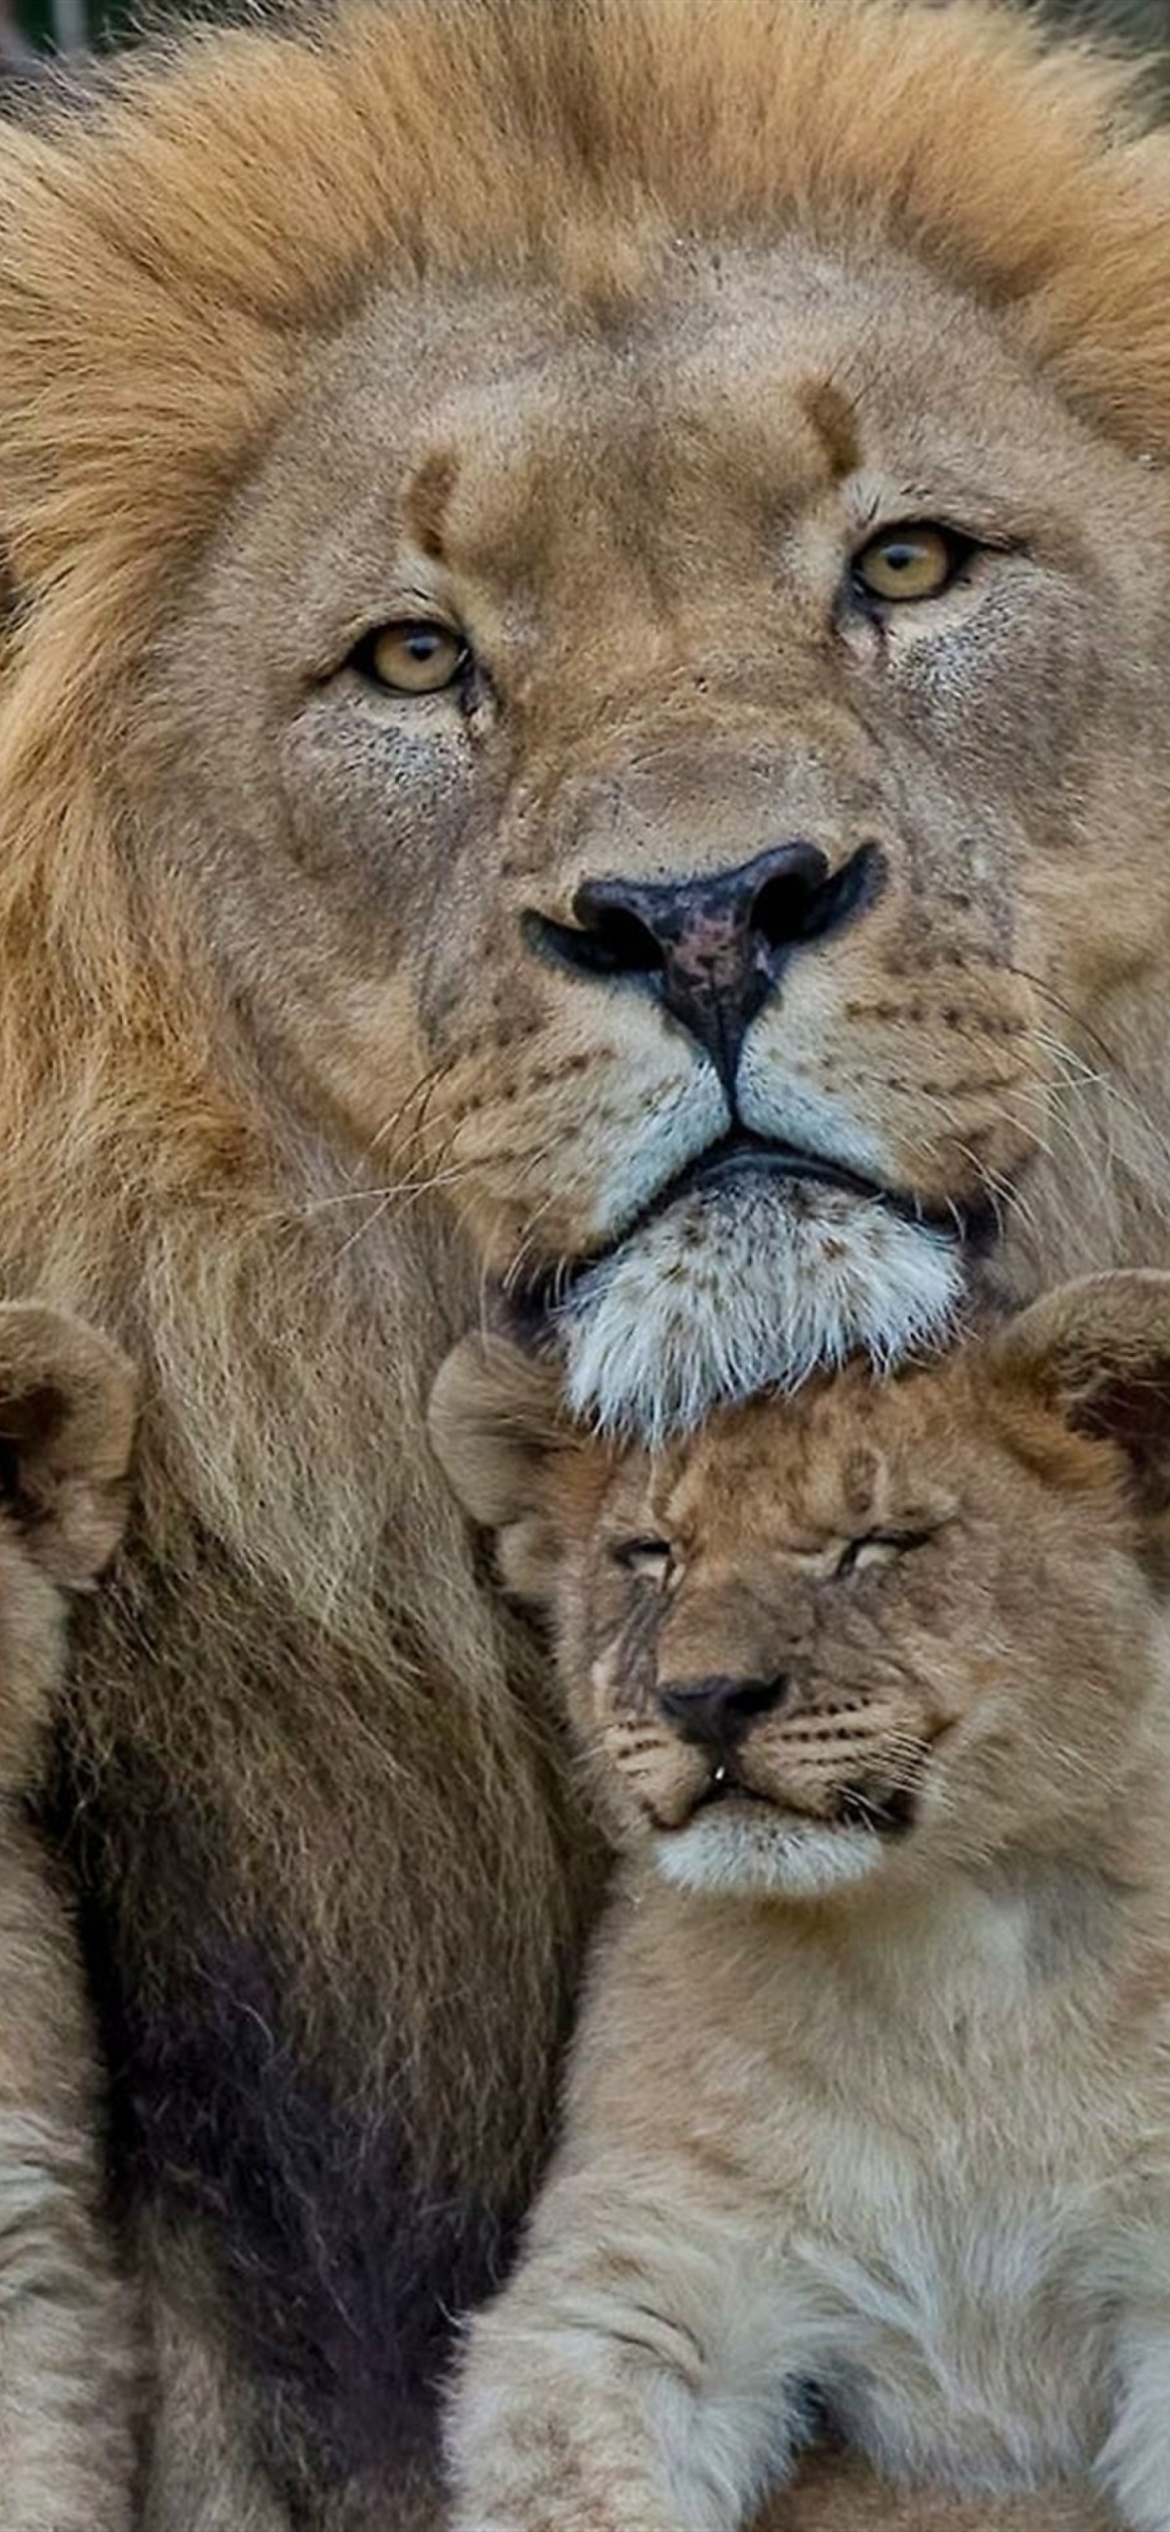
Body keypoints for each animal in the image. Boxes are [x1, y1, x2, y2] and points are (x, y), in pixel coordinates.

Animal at [434, 1276, 1170, 2532]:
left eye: (872, 1547)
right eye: (650, 1557)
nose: (705, 1699)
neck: (934, 1960)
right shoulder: (642, 2276)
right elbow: (571, 2479)